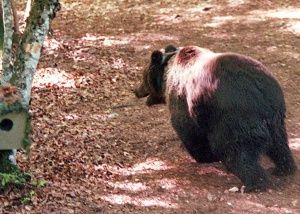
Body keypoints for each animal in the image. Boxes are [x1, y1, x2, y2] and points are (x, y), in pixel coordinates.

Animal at [135, 45, 296, 192]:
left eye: (143, 77)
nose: (135, 90)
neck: (166, 76)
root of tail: (261, 91)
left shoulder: (183, 99)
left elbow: (188, 130)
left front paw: (203, 156)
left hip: (234, 116)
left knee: (233, 151)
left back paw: (254, 184)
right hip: (275, 117)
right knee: (279, 144)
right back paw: (284, 168)